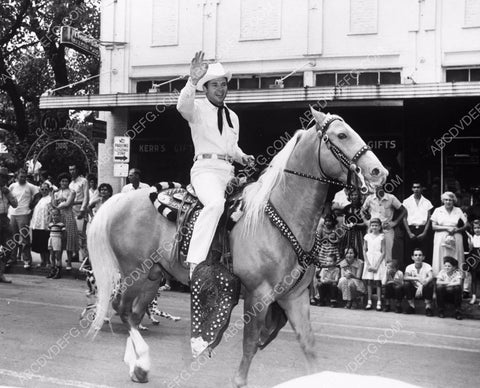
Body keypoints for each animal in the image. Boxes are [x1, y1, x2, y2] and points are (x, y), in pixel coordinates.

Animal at [85, 107, 386, 386]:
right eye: (342, 135)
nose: (378, 172)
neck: (279, 216)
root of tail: (121, 199)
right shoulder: (259, 295)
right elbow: (251, 344)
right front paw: (239, 380)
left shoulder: (295, 297)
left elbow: (309, 345)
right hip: (134, 272)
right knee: (122, 309)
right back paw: (141, 362)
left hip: (153, 277)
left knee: (134, 314)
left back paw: (138, 367)